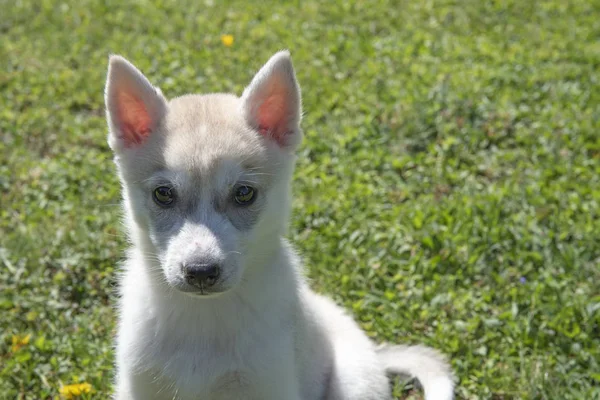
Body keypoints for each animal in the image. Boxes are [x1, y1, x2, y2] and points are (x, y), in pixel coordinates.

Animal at [105, 50, 452, 400]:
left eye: (244, 193)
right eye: (164, 194)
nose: (201, 272)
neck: (204, 317)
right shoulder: (137, 387)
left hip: (353, 384)